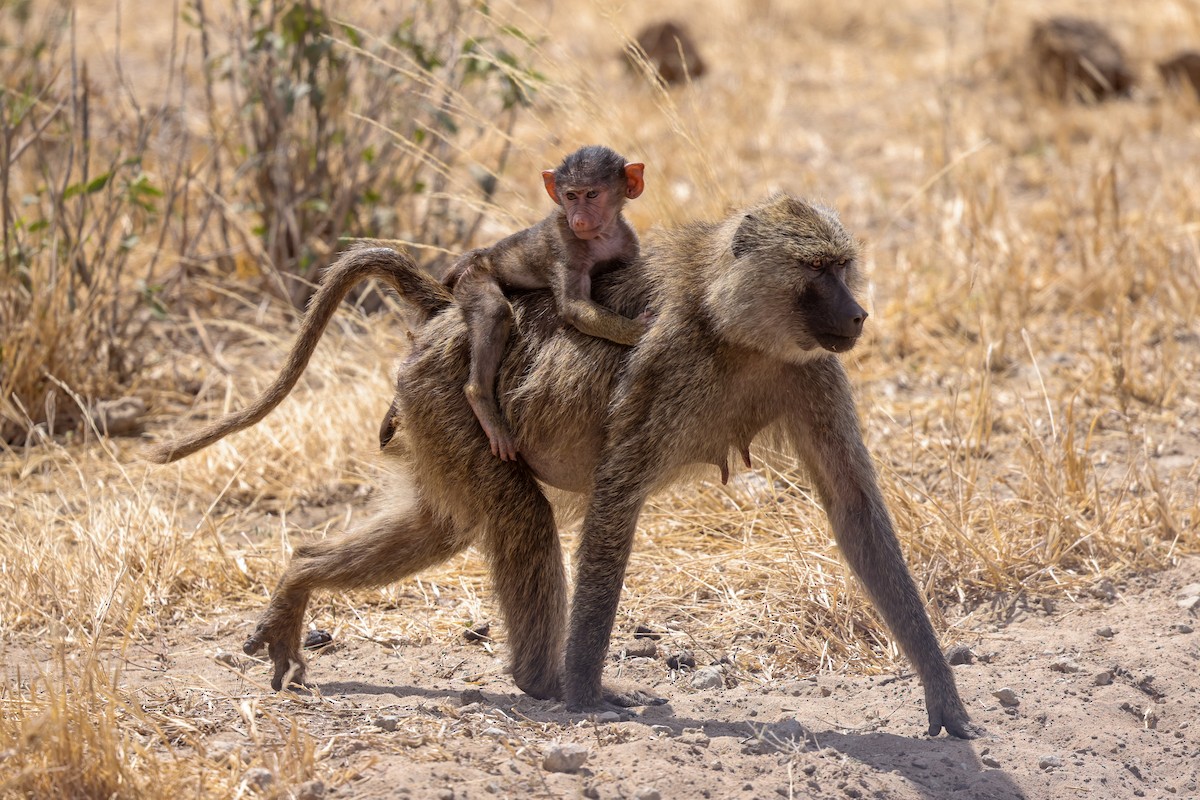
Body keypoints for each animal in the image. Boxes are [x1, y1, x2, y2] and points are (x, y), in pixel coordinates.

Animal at [148, 194, 980, 739]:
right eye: (819, 271)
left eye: (844, 267)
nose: (858, 315)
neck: (736, 325)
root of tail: (444, 317)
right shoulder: (667, 360)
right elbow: (616, 496)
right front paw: (585, 693)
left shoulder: (813, 370)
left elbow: (854, 508)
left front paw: (943, 696)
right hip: (452, 405)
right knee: (521, 517)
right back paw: (542, 682)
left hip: (429, 420)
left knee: (441, 527)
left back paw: (300, 578)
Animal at [444, 145, 650, 462]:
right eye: (571, 196)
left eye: (592, 194)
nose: (578, 219)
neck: (602, 236)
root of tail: (479, 255)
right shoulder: (564, 242)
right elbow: (573, 307)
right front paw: (636, 331)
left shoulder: (628, 240)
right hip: (473, 278)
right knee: (494, 312)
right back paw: (480, 398)